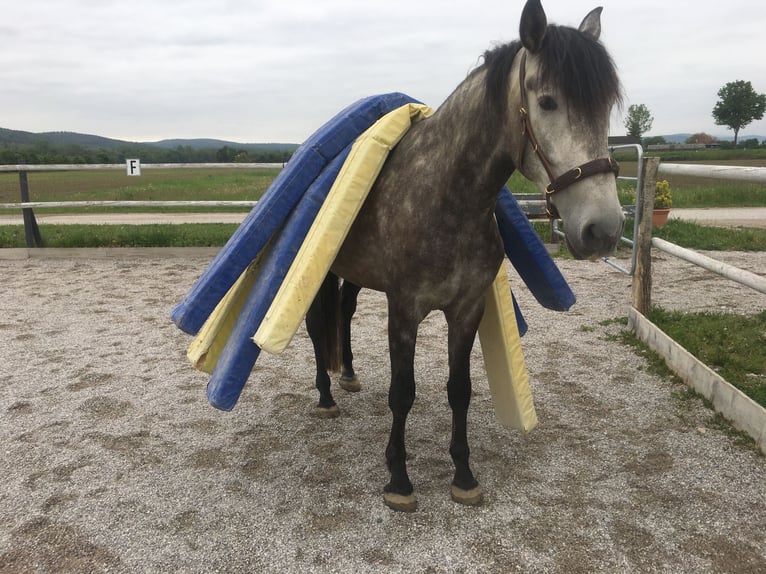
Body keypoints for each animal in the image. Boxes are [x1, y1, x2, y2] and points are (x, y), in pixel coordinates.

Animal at [304, 0, 623, 512]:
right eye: (547, 102)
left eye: (605, 106)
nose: (603, 230)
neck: (443, 194)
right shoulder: (404, 310)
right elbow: (403, 392)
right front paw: (399, 479)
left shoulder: (467, 308)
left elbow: (460, 390)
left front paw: (463, 474)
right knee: (319, 328)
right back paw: (326, 396)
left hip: (354, 273)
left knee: (347, 312)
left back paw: (349, 375)